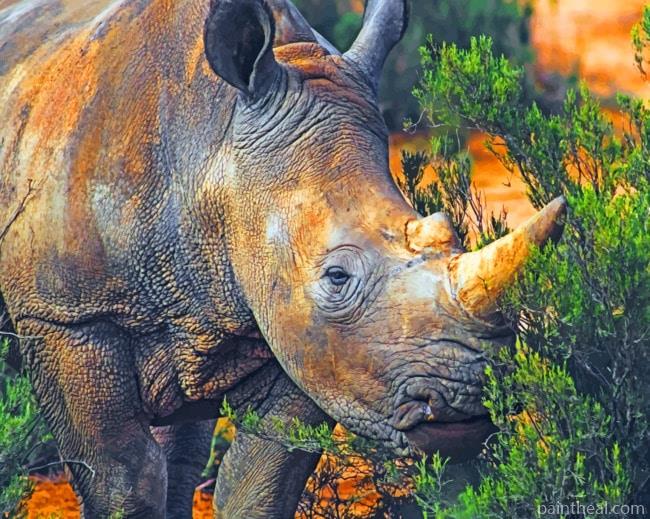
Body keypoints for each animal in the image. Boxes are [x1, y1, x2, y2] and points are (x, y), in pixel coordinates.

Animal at [0, 0, 566, 517]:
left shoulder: (295, 329)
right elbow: (121, 478)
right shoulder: (64, 315)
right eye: (336, 277)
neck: (213, 147)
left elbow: (262, 481)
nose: (471, 399)